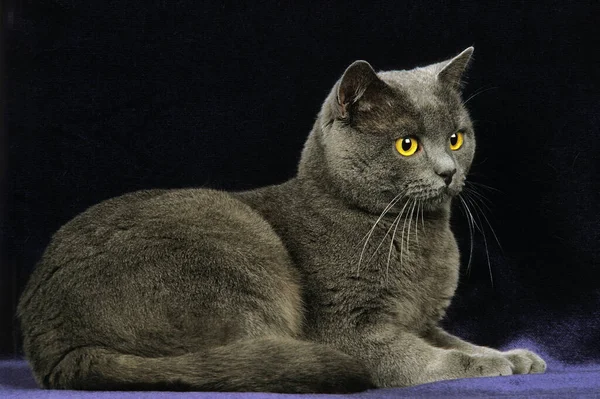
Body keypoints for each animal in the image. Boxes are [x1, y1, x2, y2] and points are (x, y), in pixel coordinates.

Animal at [18, 47, 548, 394]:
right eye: (407, 145)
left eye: (457, 138)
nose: (448, 172)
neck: (419, 235)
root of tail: (54, 345)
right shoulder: (349, 328)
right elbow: (426, 358)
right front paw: (491, 367)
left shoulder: (423, 319)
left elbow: (458, 340)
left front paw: (514, 357)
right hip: (236, 252)